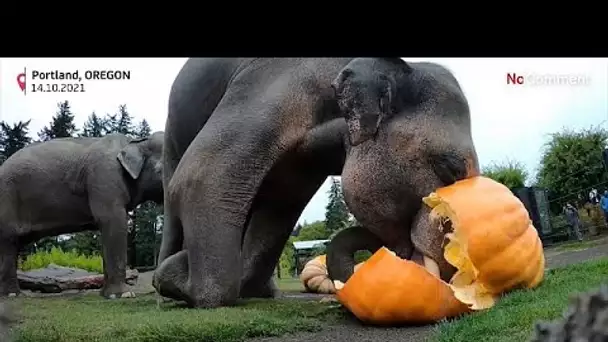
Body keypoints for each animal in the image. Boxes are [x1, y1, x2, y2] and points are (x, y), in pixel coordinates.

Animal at [0, 132, 165, 298]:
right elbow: (112, 221)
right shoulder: (104, 178)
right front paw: (122, 295)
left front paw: (105, 295)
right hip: (7, 198)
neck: (133, 141)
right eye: (162, 170)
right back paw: (12, 295)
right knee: (8, 241)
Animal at [153, 57, 480, 308]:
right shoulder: (275, 86)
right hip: (173, 132)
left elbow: (279, 208)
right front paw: (178, 280)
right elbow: (202, 173)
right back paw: (164, 287)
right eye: (450, 169)